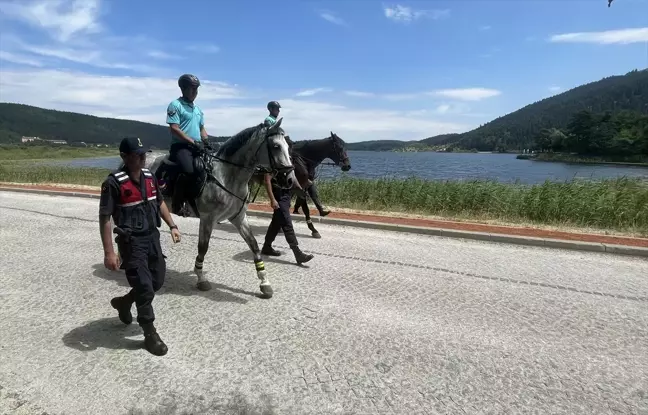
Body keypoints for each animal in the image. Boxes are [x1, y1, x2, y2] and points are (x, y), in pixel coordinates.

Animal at [119, 119, 296, 300]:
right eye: (276, 146)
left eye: (287, 147)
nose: (289, 179)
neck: (226, 176)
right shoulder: (207, 218)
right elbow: (203, 247)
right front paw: (201, 278)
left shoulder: (238, 217)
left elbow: (253, 245)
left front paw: (265, 283)